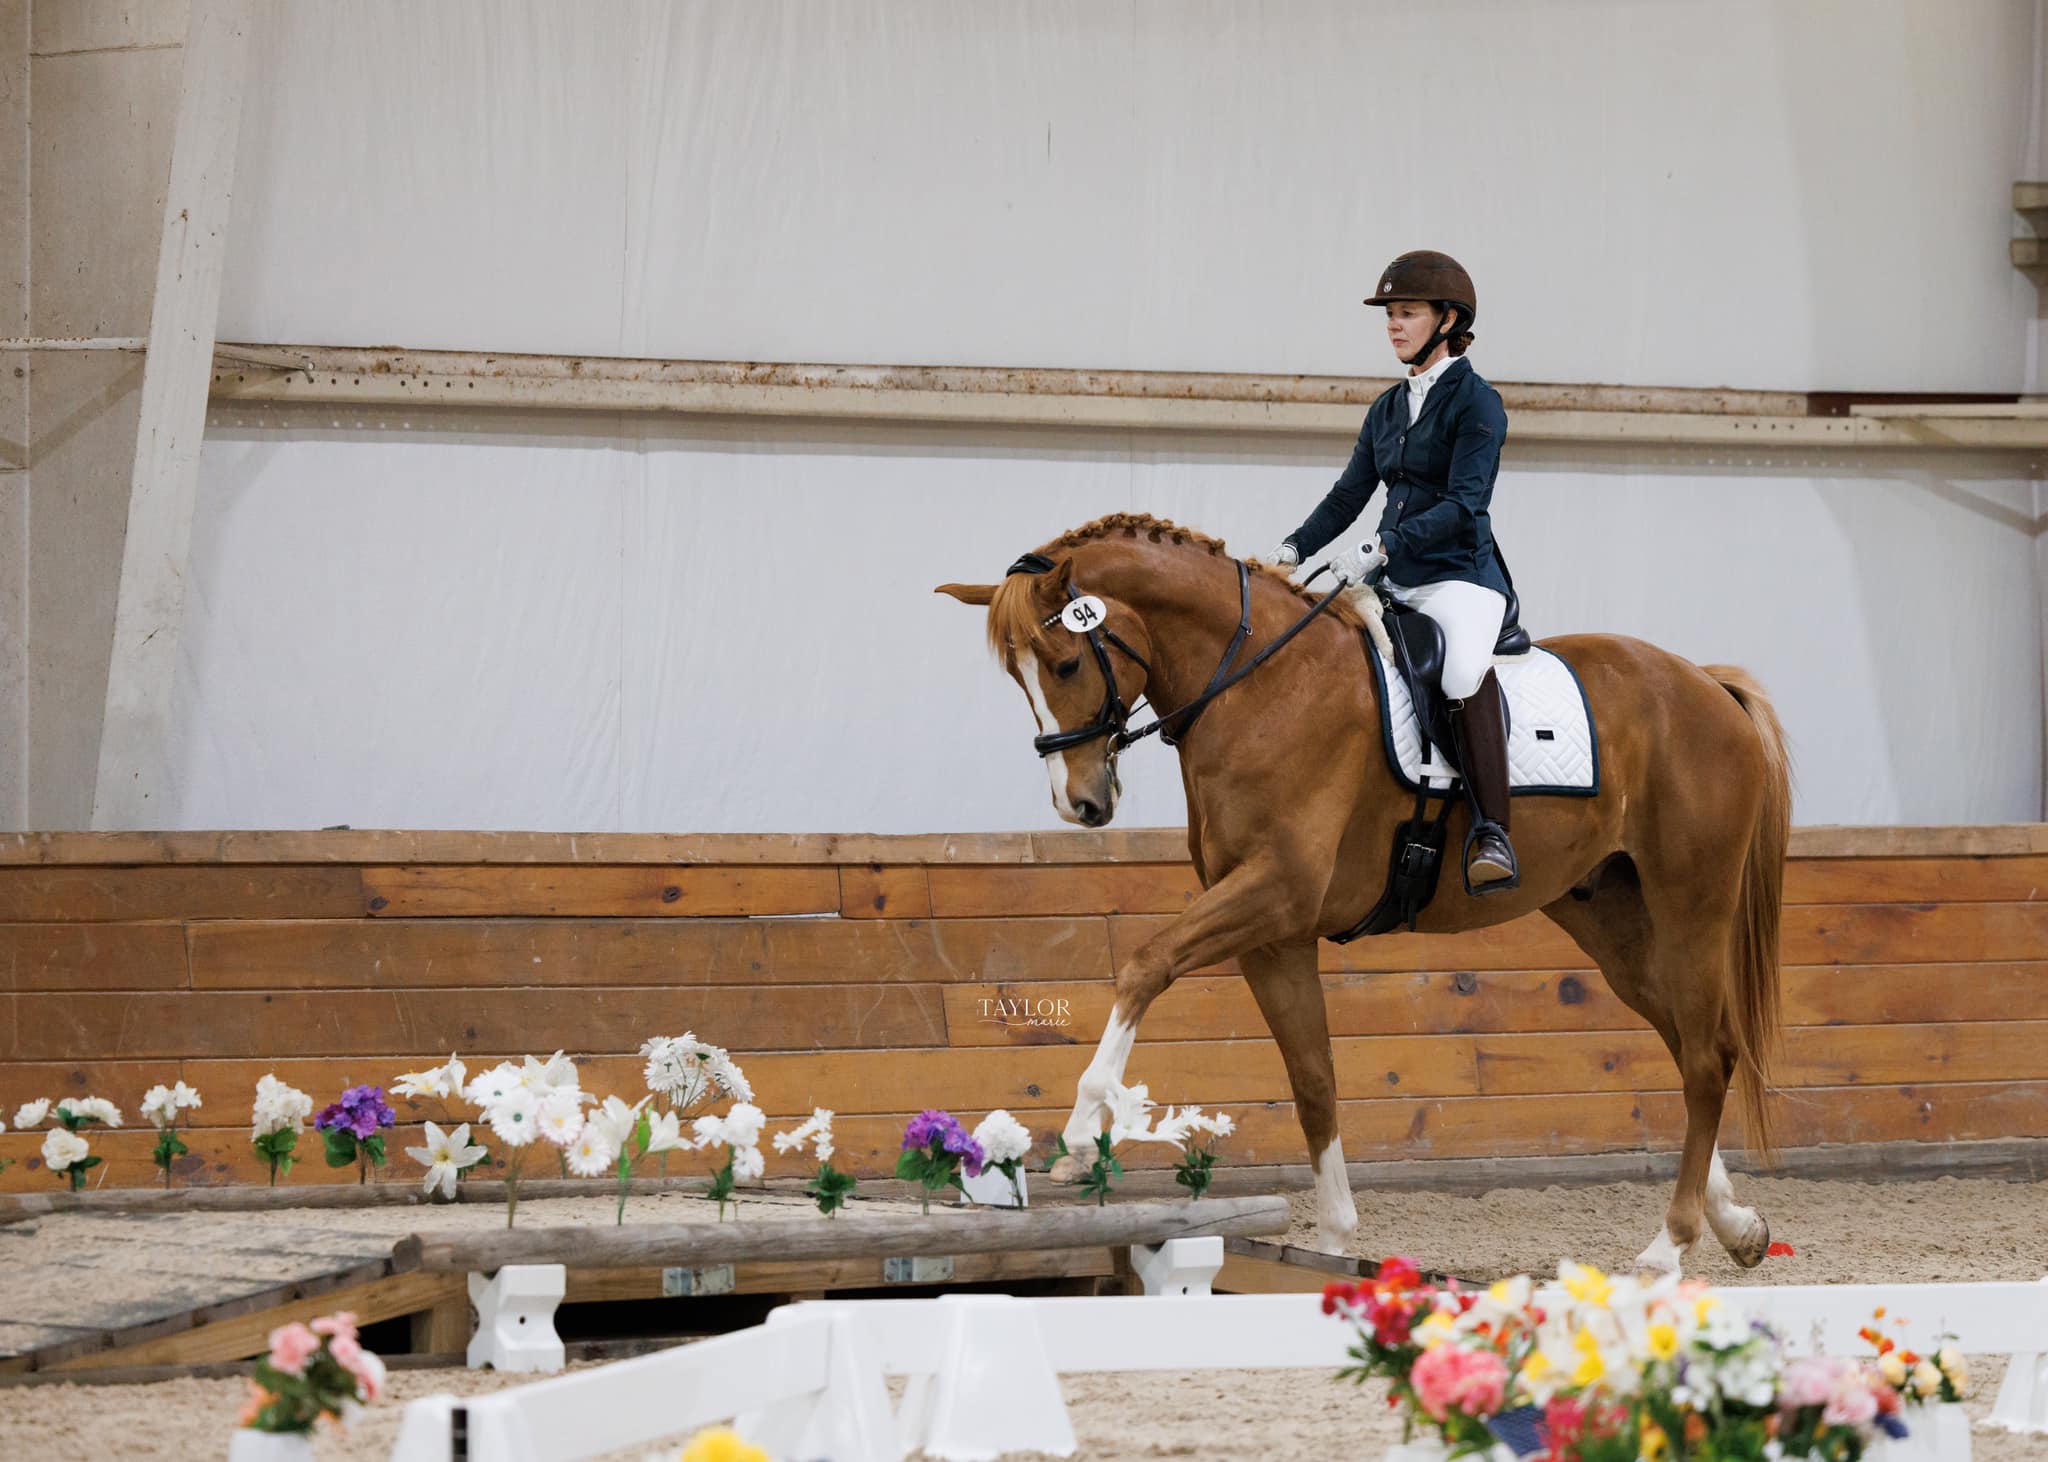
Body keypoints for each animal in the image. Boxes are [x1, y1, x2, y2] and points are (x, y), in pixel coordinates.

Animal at [937, 511, 1785, 1261]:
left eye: (1067, 665)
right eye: (1018, 676)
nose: (1079, 805)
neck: (1261, 687)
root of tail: (1705, 684)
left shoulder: (1274, 891)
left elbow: (1145, 964)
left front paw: (1082, 1136)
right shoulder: (1274, 935)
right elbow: (1313, 1078)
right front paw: (1338, 1238)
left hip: (1692, 904)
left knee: (1706, 1057)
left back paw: (1670, 1248)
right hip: (1613, 920)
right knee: (1691, 1044)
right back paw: (1737, 1225)